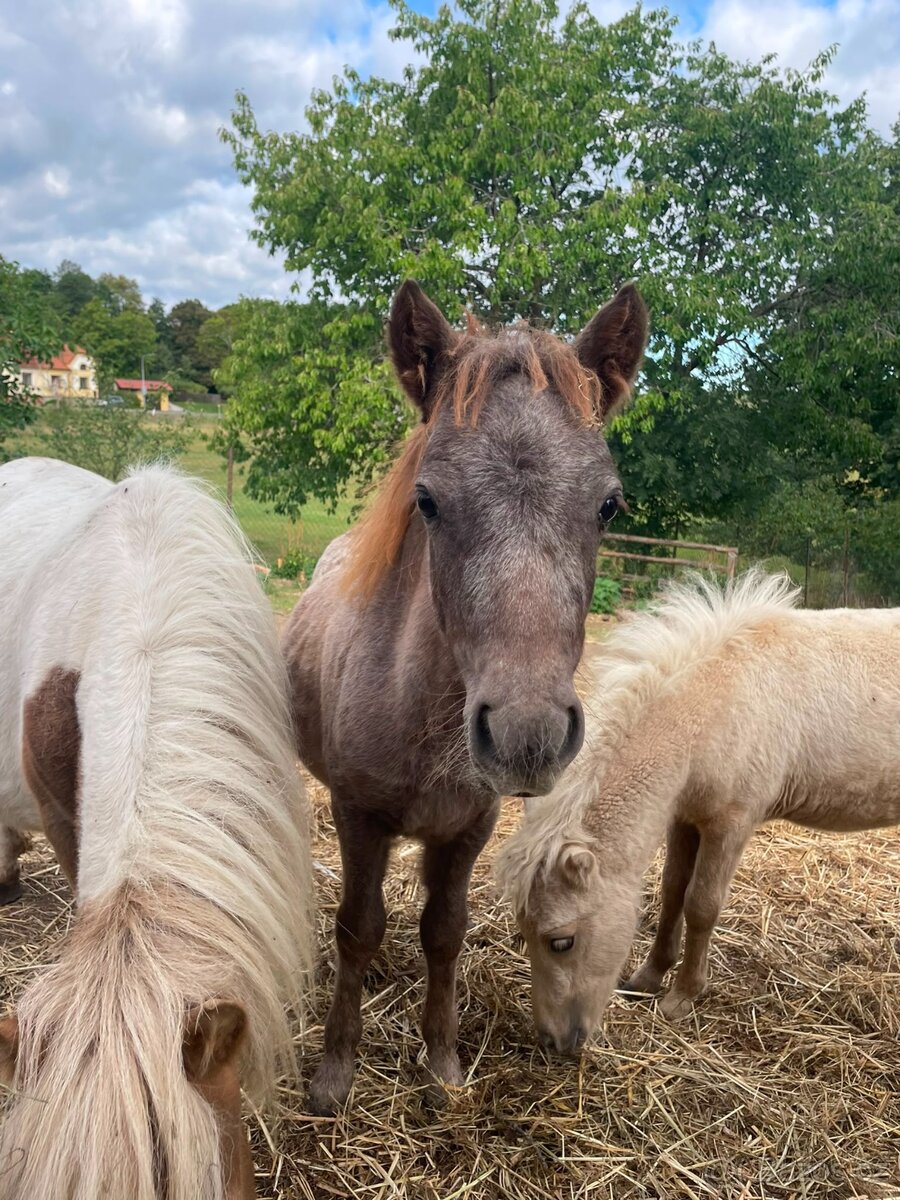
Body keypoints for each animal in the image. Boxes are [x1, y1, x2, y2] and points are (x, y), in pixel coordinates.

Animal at [282, 279, 649, 1113]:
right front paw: (334, 1072)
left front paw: (443, 1062)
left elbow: (443, 931)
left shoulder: (467, 829)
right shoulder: (358, 816)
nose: (526, 734)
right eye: (428, 500)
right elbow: (356, 926)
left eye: (608, 504)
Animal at [496, 571, 900, 1051]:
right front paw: (649, 977)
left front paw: (682, 996)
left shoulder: (730, 825)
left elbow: (701, 905)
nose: (552, 1042)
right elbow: (672, 890)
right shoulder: (684, 818)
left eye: (561, 942)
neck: (714, 703)